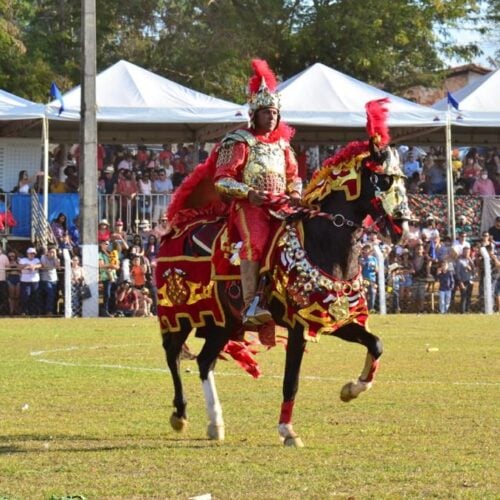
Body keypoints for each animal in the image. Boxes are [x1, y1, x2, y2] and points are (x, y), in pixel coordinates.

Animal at [156, 107, 410, 448]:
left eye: (401, 179)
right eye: (381, 179)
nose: (402, 225)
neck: (322, 242)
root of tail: (178, 227)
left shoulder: (334, 319)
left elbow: (376, 344)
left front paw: (351, 389)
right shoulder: (298, 327)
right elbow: (292, 381)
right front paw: (288, 430)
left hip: (224, 322)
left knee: (204, 361)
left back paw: (215, 423)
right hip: (179, 315)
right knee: (173, 357)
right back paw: (180, 415)